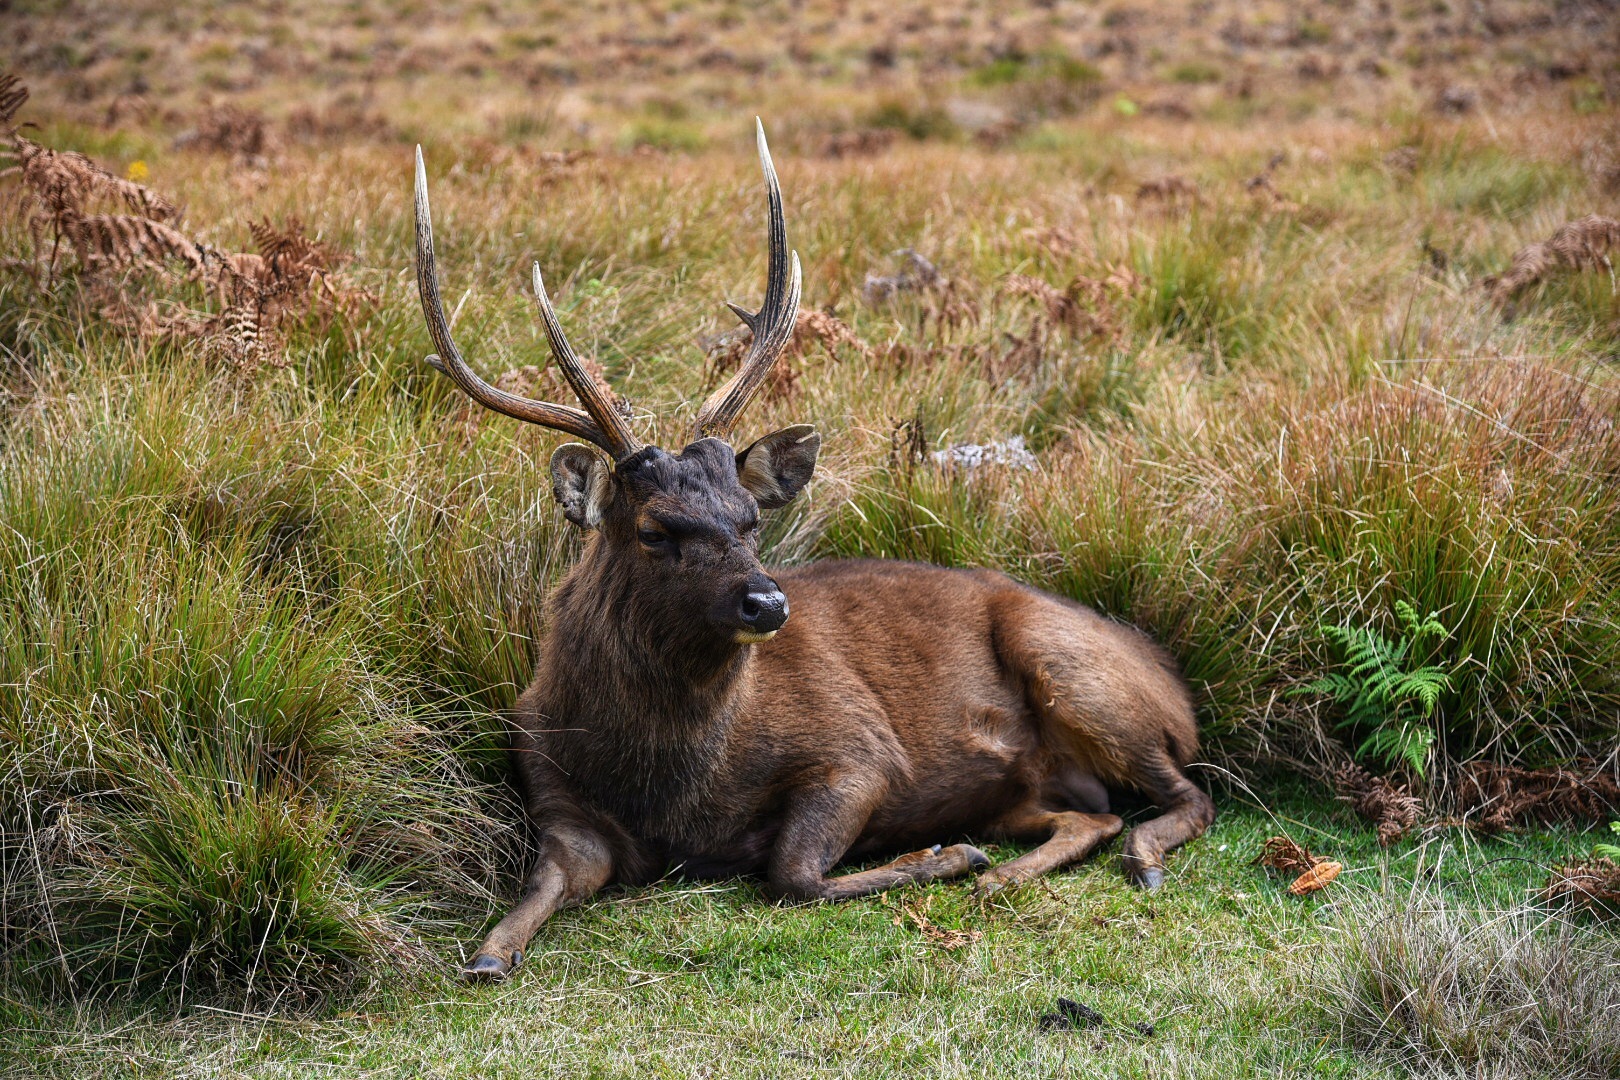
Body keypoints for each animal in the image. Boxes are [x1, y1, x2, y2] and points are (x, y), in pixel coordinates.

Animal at [411, 124, 1211, 977]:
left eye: (749, 519)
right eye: (655, 528)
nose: (767, 601)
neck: (668, 788)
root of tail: (1176, 687)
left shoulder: (861, 750)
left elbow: (791, 872)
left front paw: (943, 856)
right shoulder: (550, 786)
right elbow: (545, 882)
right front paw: (488, 953)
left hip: (1077, 671)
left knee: (1187, 795)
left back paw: (1113, 861)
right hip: (1039, 781)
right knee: (1094, 815)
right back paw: (1011, 872)